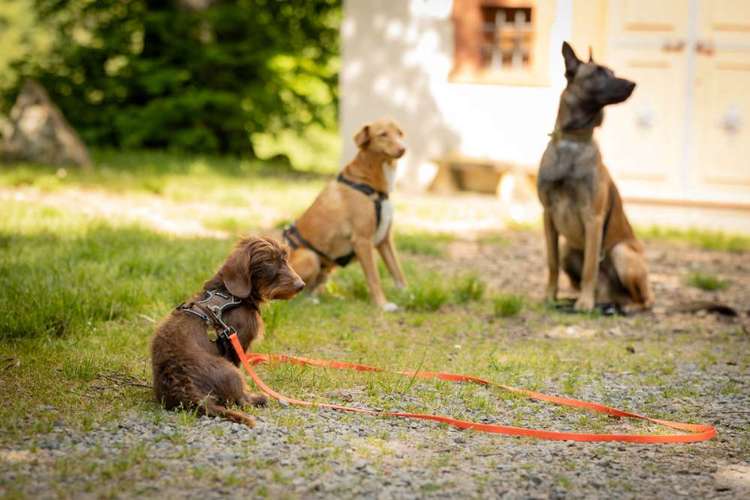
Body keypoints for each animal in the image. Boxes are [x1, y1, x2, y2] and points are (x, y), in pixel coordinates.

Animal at [150, 237, 306, 426]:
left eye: (285, 257)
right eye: (268, 260)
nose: (301, 285)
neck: (230, 294)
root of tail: (184, 387)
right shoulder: (238, 346)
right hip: (231, 371)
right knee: (240, 400)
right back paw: (257, 399)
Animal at [284, 118, 408, 310]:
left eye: (399, 133)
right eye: (383, 134)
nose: (403, 149)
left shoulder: (385, 240)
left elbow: (397, 272)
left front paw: (408, 294)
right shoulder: (362, 241)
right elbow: (374, 278)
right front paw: (383, 304)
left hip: (327, 269)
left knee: (312, 289)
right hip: (310, 256)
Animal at [536, 43, 656, 314]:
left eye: (612, 72)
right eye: (599, 73)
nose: (632, 83)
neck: (572, 142)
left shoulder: (593, 217)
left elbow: (590, 265)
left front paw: (584, 303)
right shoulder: (548, 215)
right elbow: (551, 263)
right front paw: (550, 297)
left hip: (621, 252)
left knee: (646, 300)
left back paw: (618, 307)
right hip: (569, 251)